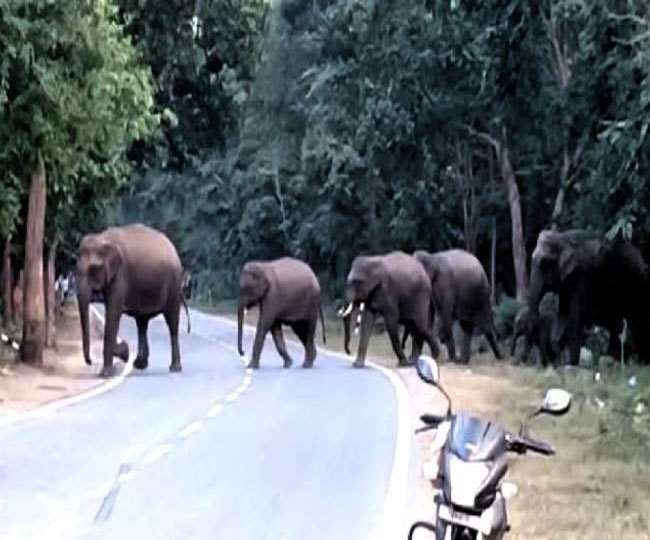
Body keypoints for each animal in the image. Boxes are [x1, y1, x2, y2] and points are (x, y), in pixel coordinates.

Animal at [76, 221, 189, 378]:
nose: (90, 362)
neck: (102, 238)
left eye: (94, 269)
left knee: (171, 322)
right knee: (142, 323)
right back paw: (140, 364)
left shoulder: (121, 275)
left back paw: (175, 368)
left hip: (174, 284)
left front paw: (107, 371)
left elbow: (113, 313)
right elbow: (112, 313)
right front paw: (125, 352)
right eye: (75, 268)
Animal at [528, 230, 644, 364]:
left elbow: (574, 317)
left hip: (635, 284)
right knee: (617, 325)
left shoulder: (581, 277)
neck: (563, 238)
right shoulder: (566, 282)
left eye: (545, 264)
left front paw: (572, 364)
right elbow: (563, 314)